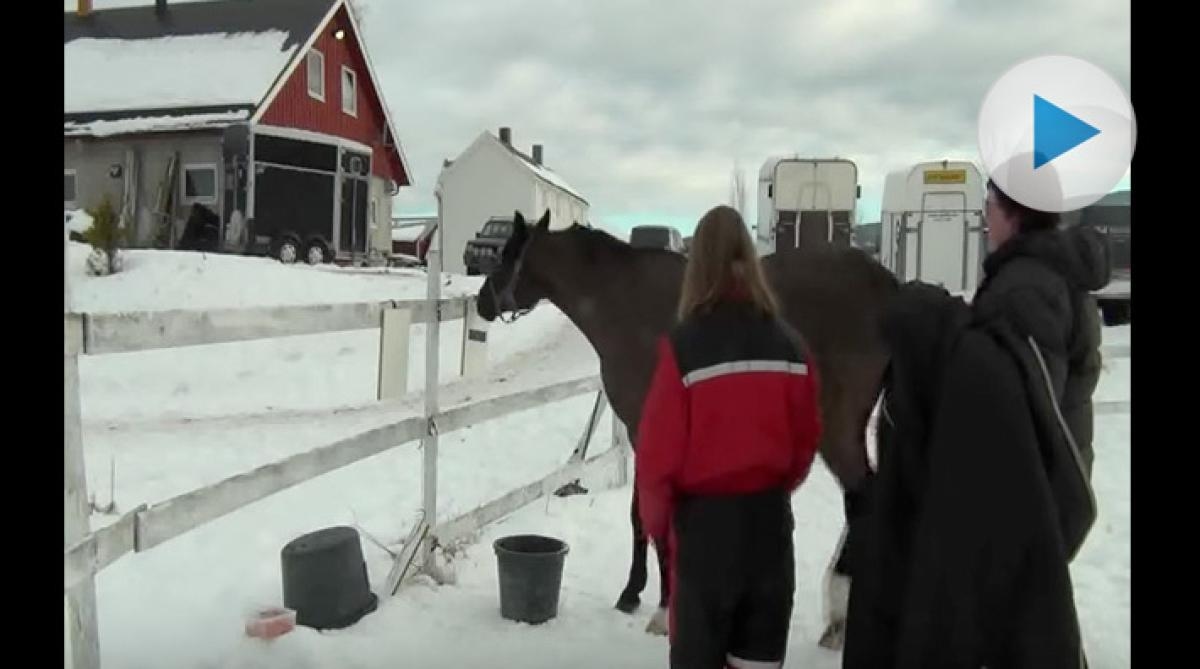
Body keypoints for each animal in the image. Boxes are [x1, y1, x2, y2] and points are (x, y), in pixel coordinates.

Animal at [472, 212, 897, 642]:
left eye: (507, 254)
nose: (482, 301)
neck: (624, 305)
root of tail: (885, 287)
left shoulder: (647, 429)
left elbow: (652, 514)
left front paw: (661, 609)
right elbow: (640, 512)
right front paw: (633, 593)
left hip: (837, 425)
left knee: (862, 497)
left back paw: (839, 608)